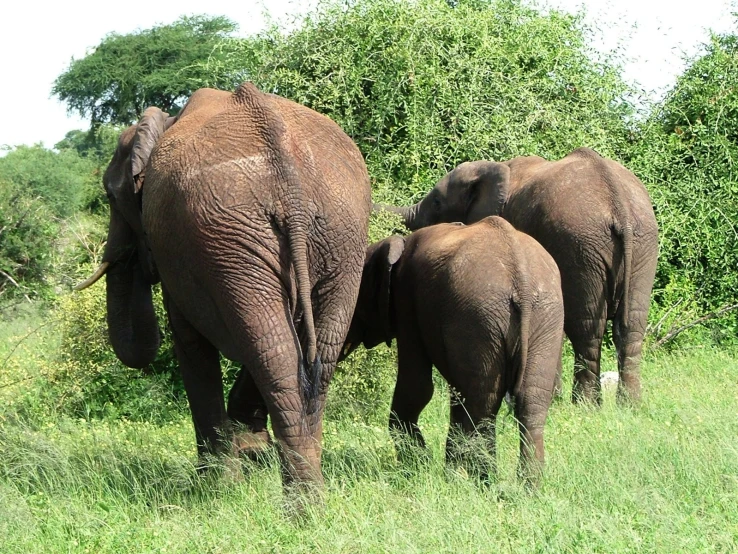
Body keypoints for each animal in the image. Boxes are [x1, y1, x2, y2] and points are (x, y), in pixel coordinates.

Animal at [340, 213, 564, 480]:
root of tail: (521, 277)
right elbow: (456, 395)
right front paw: (448, 472)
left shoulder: (407, 300)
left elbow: (417, 388)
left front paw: (418, 467)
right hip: (545, 317)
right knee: (530, 402)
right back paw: (524, 486)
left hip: (479, 315)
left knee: (483, 403)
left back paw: (484, 481)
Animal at [380, 147, 656, 404]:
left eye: (437, 202)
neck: (492, 169)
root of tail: (618, 203)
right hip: (643, 243)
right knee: (632, 324)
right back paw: (630, 405)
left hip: (581, 244)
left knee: (587, 328)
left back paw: (585, 406)